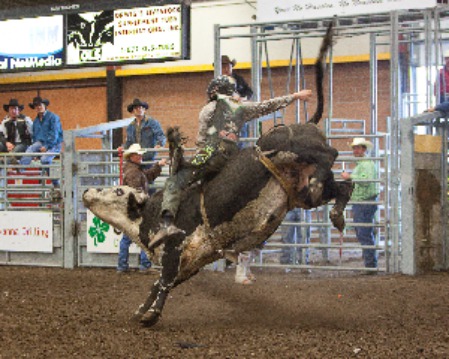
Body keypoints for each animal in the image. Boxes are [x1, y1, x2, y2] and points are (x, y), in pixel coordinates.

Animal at [82, 23, 352, 328]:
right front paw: (141, 311)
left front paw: (151, 315)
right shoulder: (190, 262)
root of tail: (306, 123)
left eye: (118, 190)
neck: (148, 214)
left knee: (330, 153)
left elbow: (163, 282)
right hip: (301, 192)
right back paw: (336, 214)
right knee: (343, 187)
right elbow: (159, 284)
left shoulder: (175, 249)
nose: (87, 192)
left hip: (295, 150)